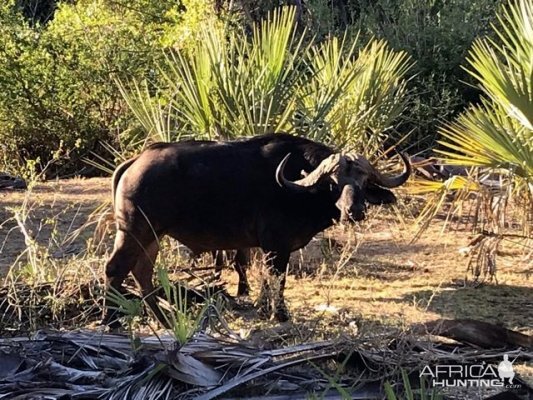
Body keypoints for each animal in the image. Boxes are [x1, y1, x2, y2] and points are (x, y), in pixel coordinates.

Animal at [105, 133, 412, 326]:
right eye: (334, 182)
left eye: (363, 181)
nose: (354, 210)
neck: (296, 189)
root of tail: (135, 162)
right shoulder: (277, 246)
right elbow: (278, 279)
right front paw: (281, 314)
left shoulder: (268, 248)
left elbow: (266, 278)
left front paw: (265, 311)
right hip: (134, 231)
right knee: (115, 269)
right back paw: (112, 321)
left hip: (152, 237)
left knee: (142, 272)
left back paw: (164, 320)